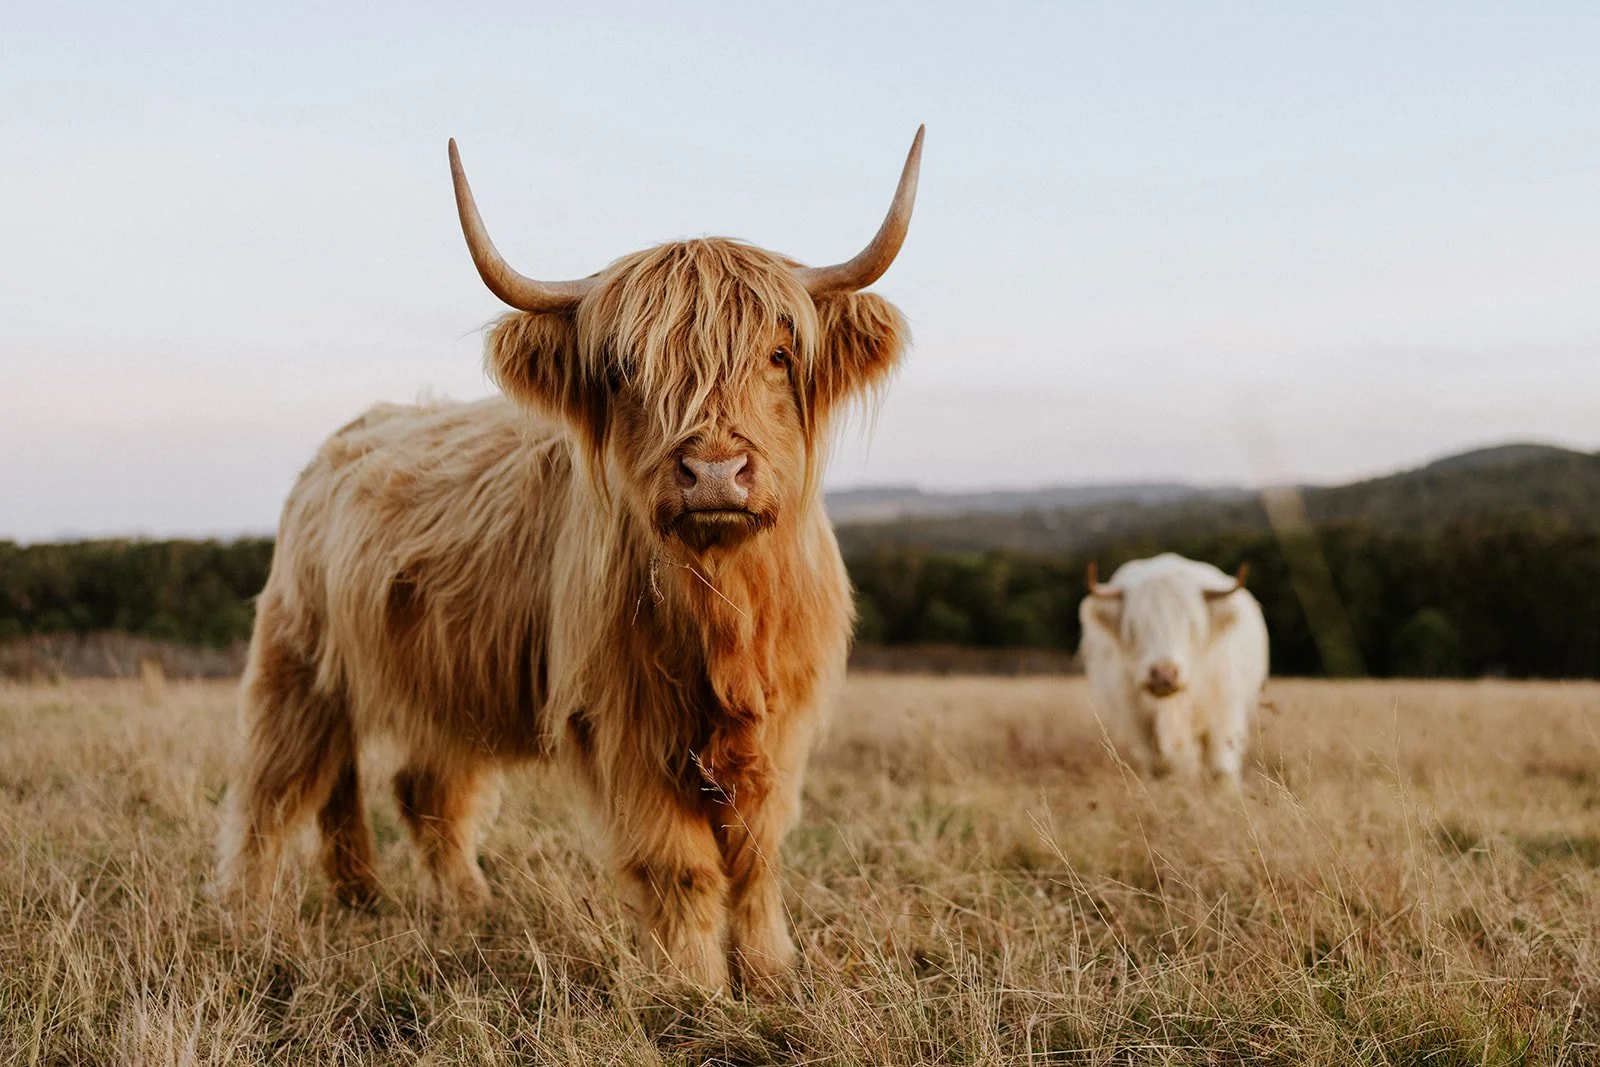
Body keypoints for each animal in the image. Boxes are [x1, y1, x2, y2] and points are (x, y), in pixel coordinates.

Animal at [216, 128, 924, 989]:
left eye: (780, 354)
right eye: (622, 369)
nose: (713, 472)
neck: (723, 604)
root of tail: (343, 439)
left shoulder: (783, 717)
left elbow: (757, 854)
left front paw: (769, 971)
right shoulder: (622, 719)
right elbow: (682, 862)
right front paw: (695, 987)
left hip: (449, 675)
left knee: (423, 788)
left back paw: (461, 907)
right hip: (297, 657)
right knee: (272, 788)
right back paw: (247, 921)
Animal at [1078, 553, 1269, 784]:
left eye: (1192, 624)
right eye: (1133, 627)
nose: (1164, 673)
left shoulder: (1225, 710)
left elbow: (1221, 769)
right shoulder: (1137, 721)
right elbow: (1159, 766)